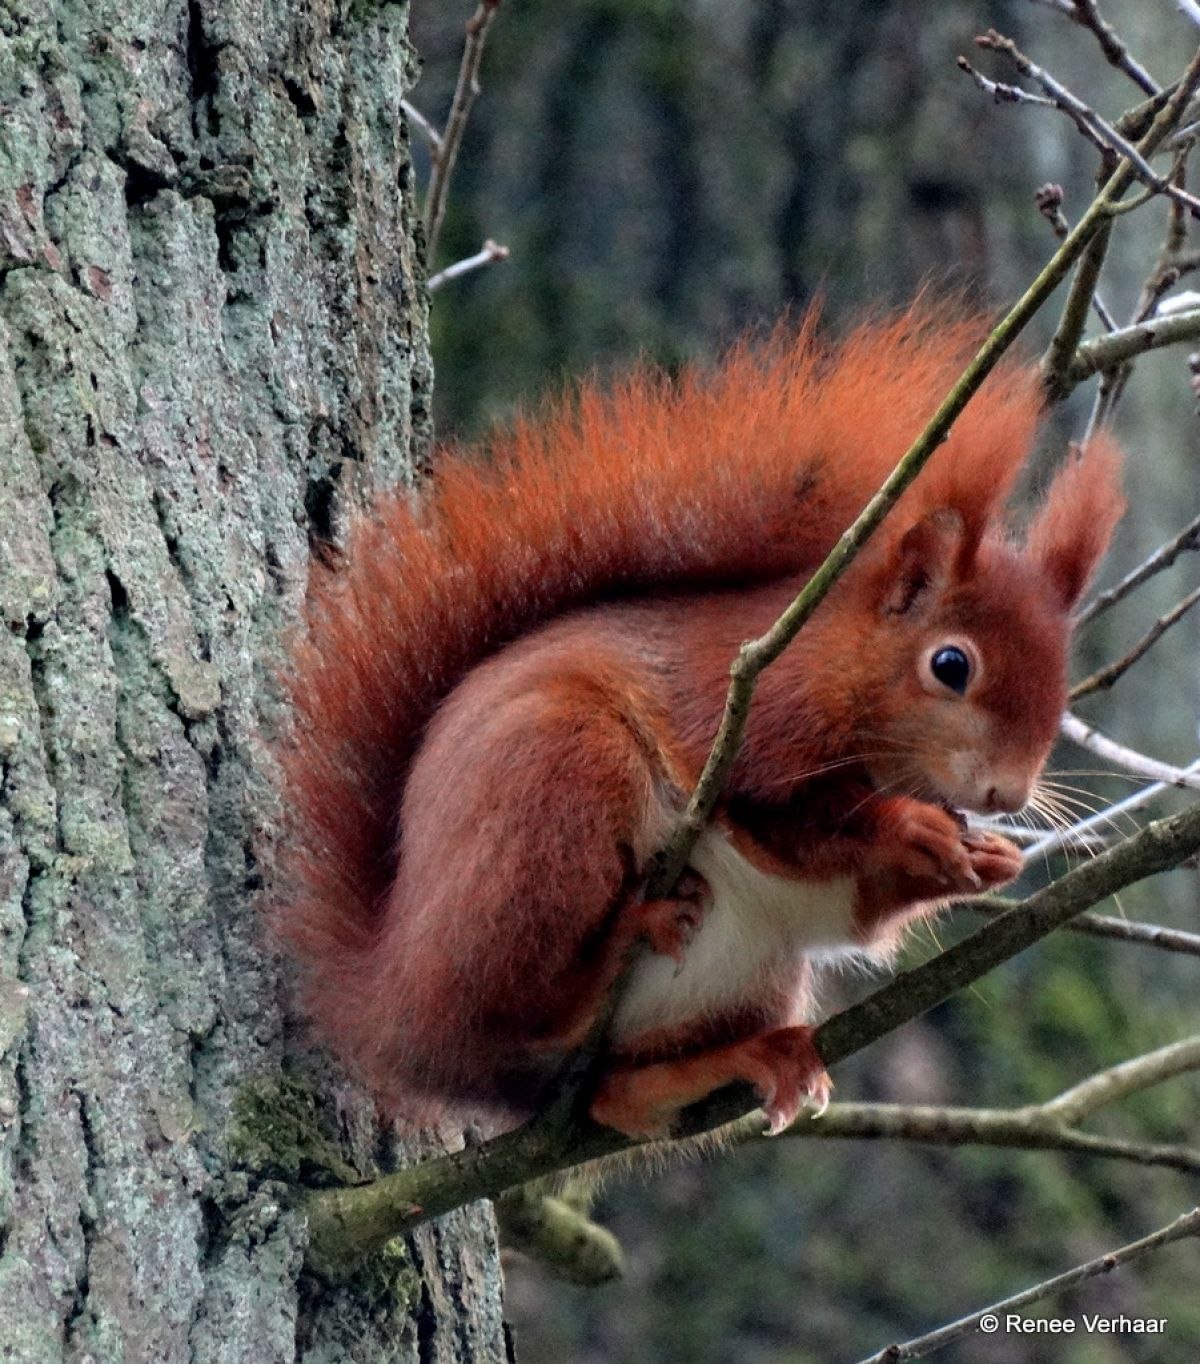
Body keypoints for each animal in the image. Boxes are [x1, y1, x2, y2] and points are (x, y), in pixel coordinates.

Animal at [274, 309, 1123, 1140]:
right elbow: (792, 820)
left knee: (609, 1099)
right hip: (553, 793)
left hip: (744, 977)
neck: (838, 664)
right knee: (507, 1010)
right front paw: (910, 827)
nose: (1007, 797)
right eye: (951, 665)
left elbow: (852, 910)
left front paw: (985, 860)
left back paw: (737, 1061)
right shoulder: (742, 715)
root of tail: (389, 999)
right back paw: (609, 953)